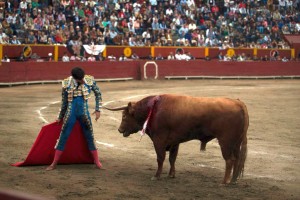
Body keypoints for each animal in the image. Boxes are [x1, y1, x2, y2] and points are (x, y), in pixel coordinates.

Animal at [104, 94, 250, 184]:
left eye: (124, 116)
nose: (119, 130)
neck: (153, 109)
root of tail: (238, 102)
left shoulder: (159, 140)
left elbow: (160, 158)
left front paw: (156, 176)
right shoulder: (174, 142)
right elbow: (172, 158)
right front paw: (171, 175)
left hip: (226, 142)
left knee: (230, 160)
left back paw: (225, 181)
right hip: (236, 143)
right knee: (237, 160)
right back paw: (234, 180)